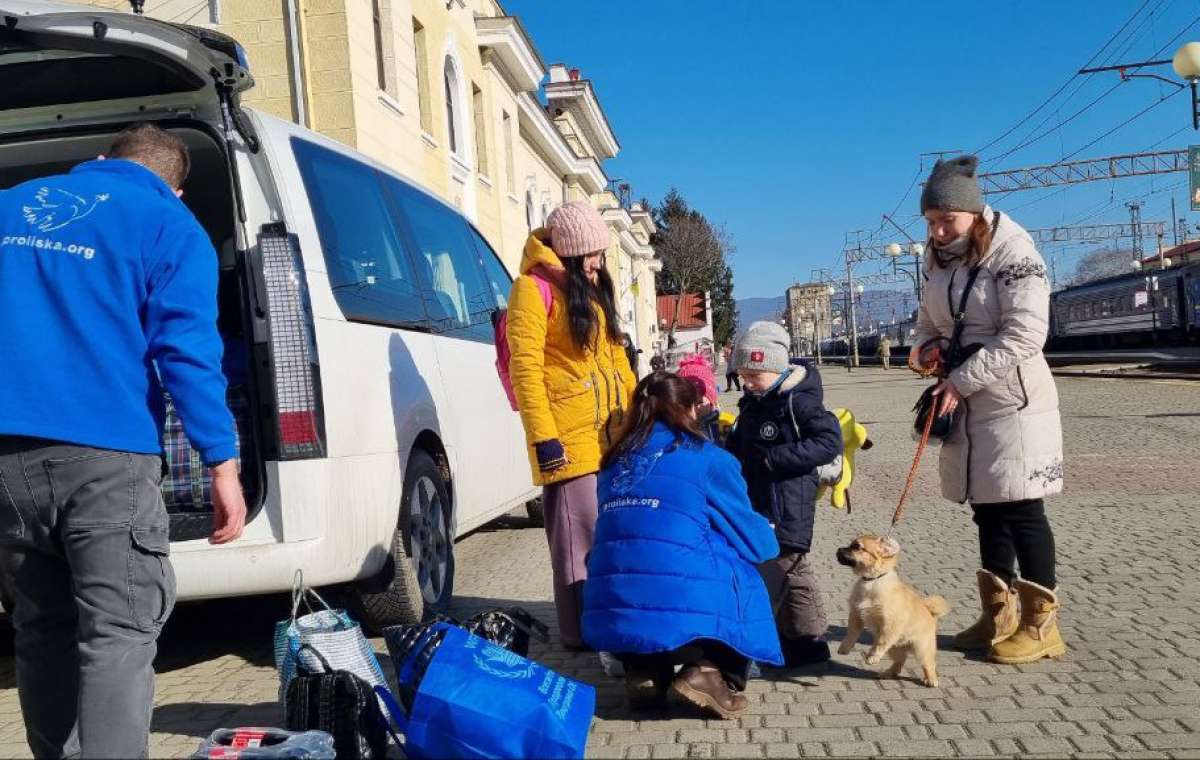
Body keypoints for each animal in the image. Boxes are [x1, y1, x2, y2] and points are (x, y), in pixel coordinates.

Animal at [840, 533, 950, 686]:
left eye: (857, 547)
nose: (839, 549)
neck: (872, 581)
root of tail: (930, 613)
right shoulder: (857, 615)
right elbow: (851, 634)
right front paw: (844, 648)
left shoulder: (889, 624)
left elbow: (880, 642)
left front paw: (872, 656)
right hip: (895, 648)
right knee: (899, 662)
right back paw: (887, 673)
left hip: (921, 648)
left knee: (928, 663)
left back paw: (931, 679)